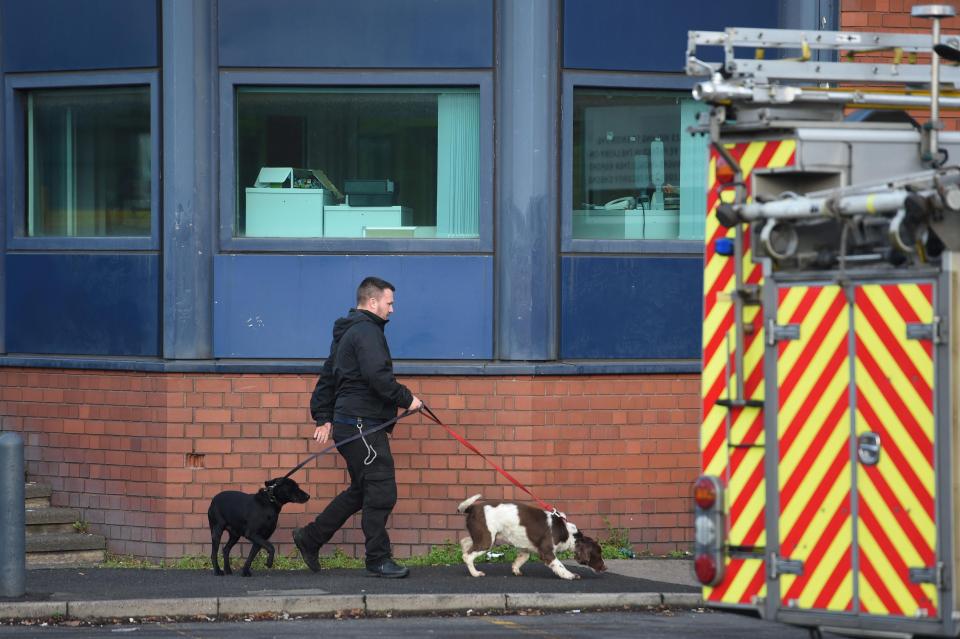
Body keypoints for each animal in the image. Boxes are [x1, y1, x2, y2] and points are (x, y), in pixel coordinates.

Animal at [458, 496, 608, 580]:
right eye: (598, 554)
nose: (605, 568)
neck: (567, 532)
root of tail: (471, 508)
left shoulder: (526, 549)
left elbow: (521, 559)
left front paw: (516, 570)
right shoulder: (547, 552)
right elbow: (560, 565)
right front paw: (570, 575)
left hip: (482, 536)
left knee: (464, 542)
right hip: (487, 539)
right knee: (467, 556)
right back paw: (475, 573)